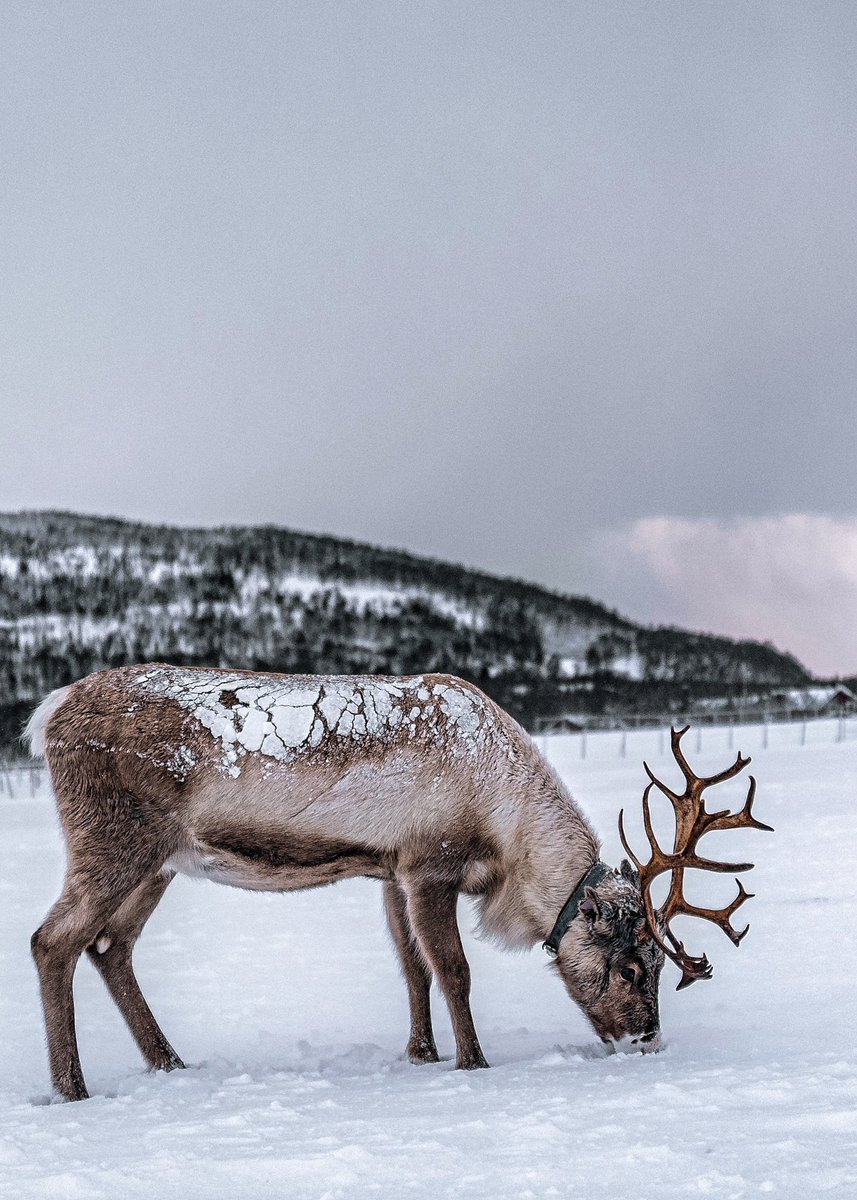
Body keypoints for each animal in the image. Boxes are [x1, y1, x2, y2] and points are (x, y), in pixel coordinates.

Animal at [25, 664, 772, 1101]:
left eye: (660, 964)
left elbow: (411, 966)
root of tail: (48, 714)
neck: (504, 830)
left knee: (110, 947)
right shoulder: (430, 863)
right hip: (114, 840)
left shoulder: (391, 871)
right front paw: (472, 1062)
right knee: (53, 941)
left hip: (159, 862)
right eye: (630, 967)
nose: (647, 1038)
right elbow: (454, 969)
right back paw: (72, 1088)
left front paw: (421, 1053)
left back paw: (170, 1064)